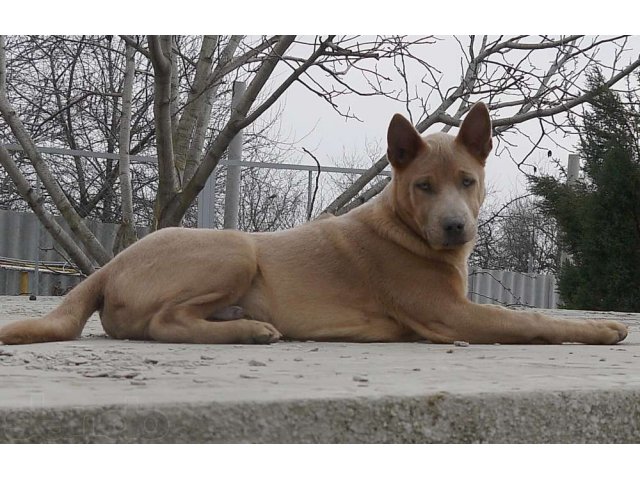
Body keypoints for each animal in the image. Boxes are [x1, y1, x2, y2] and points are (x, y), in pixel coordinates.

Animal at [0, 103, 632, 346]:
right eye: (424, 186)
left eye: (468, 181)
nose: (456, 228)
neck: (405, 228)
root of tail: (110, 265)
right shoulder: (451, 314)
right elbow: (530, 320)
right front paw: (601, 329)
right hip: (234, 249)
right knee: (162, 323)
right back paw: (249, 330)